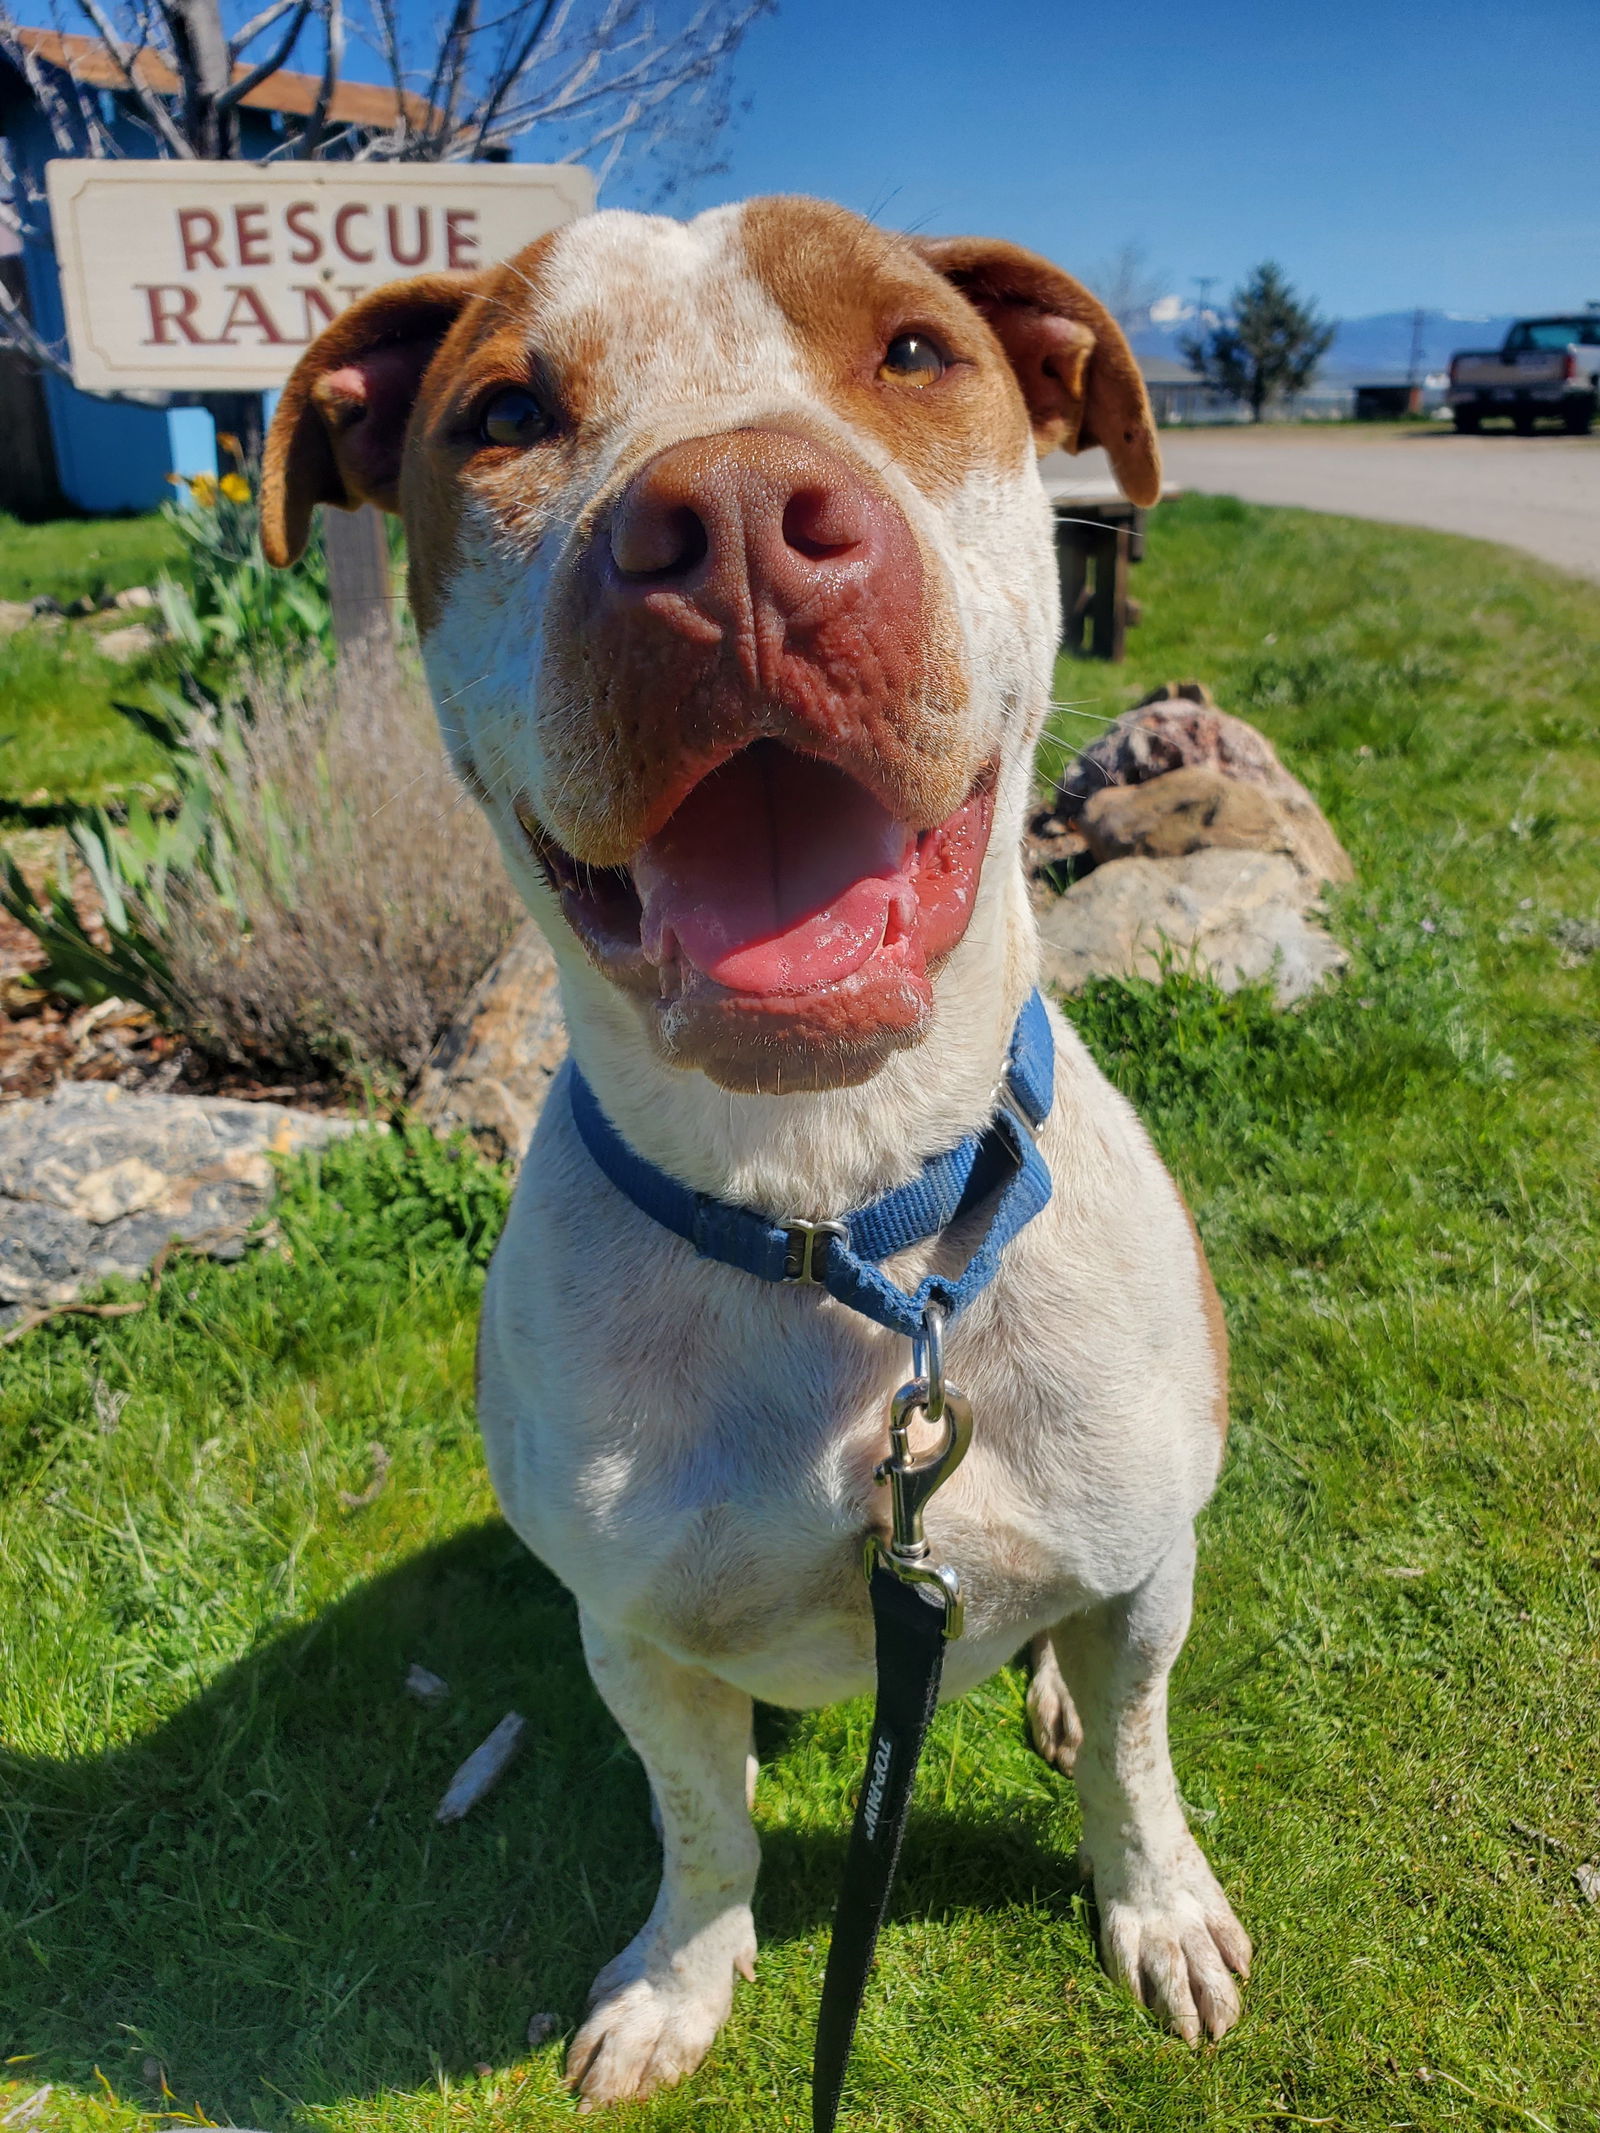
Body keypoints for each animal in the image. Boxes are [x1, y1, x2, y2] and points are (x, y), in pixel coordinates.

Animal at [266, 196, 1254, 2098]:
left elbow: (1137, 1757)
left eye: (917, 353)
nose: (728, 525)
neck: (841, 1209)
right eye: (505, 414)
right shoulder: (635, 1636)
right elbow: (702, 1819)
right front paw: (679, 1977)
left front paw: (1156, 1903)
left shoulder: (1143, 1569)